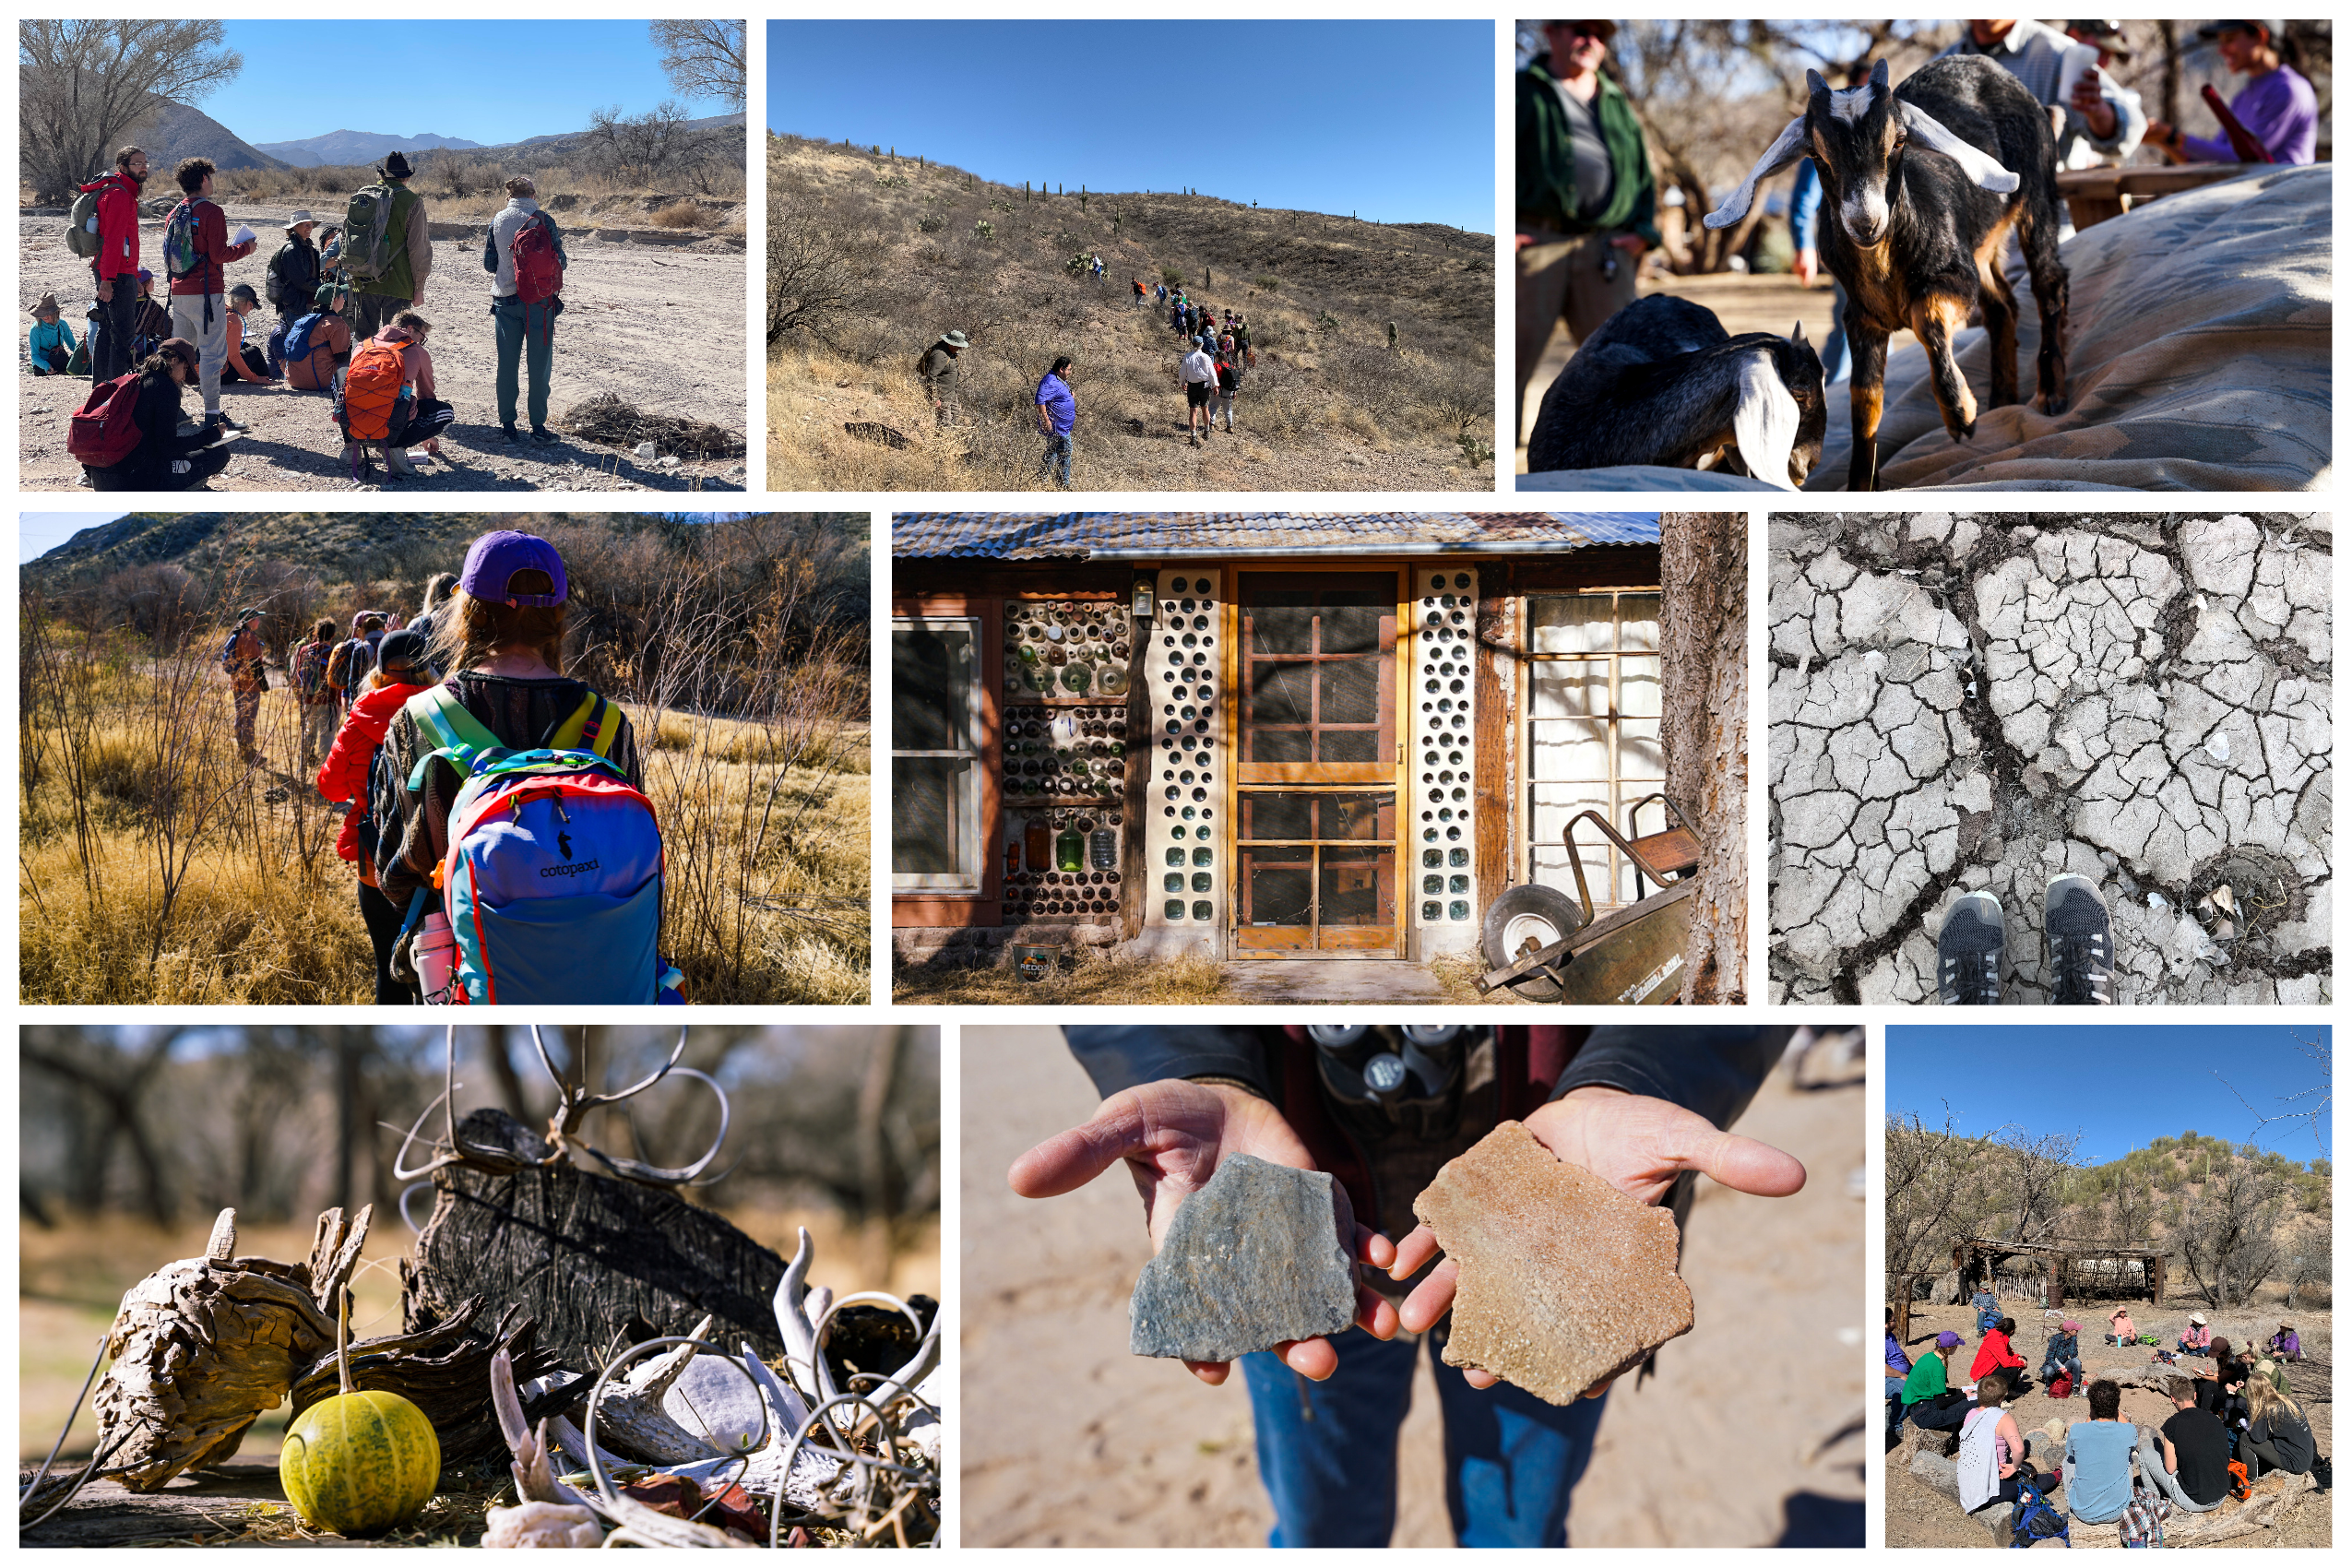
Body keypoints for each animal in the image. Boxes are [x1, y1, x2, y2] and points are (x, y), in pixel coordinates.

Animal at [1703, 59, 2070, 491]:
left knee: (2048, 283)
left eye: (1898, 143)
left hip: (2037, 199)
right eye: (1816, 153)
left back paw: (2050, 394)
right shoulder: (1861, 318)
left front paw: (1960, 413)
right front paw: (1863, 483)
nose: (1866, 222)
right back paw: (2003, 400)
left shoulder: (1957, 278)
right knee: (2002, 307)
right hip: (1982, 249)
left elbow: (1926, 318)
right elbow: (1865, 398)